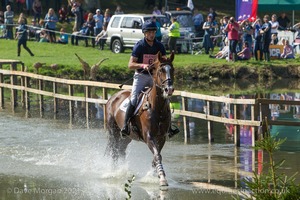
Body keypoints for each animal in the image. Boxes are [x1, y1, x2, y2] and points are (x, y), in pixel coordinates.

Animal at [105, 51, 176, 186]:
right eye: (161, 70)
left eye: (172, 69)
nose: (168, 89)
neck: (157, 107)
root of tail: (113, 97)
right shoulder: (149, 136)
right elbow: (157, 155)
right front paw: (162, 178)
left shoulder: (161, 137)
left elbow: (156, 156)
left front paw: (153, 176)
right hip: (113, 132)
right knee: (113, 151)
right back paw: (113, 173)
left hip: (127, 136)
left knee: (121, 150)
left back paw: (123, 171)